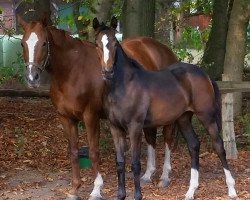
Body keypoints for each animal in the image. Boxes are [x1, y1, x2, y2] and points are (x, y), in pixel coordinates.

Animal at [17, 15, 178, 198]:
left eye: (44, 43)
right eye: (22, 43)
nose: (32, 77)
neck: (72, 70)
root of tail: (164, 50)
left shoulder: (90, 117)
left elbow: (93, 152)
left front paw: (96, 189)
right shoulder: (65, 118)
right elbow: (73, 152)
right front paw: (75, 189)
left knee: (167, 139)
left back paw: (164, 177)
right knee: (151, 138)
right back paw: (148, 174)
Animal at [93, 19, 236, 199]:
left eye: (115, 43)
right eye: (97, 44)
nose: (108, 72)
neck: (124, 86)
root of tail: (204, 74)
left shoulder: (135, 127)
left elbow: (135, 163)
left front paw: (138, 195)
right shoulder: (115, 128)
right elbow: (120, 163)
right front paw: (121, 195)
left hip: (207, 116)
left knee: (219, 146)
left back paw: (231, 189)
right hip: (183, 118)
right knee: (194, 145)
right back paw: (191, 191)